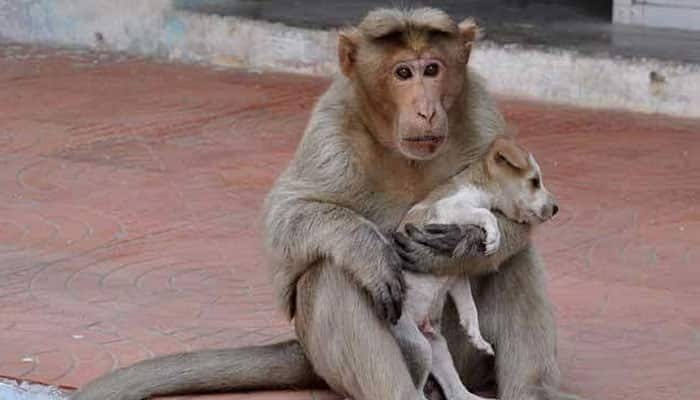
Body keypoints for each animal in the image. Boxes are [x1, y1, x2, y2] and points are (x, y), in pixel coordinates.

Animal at [394, 135, 556, 400]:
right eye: (534, 181)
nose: (556, 208)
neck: (479, 186)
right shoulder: (448, 208)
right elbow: (484, 214)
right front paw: (493, 238)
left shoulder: (455, 275)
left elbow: (469, 306)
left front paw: (475, 335)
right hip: (418, 346)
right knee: (415, 390)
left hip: (438, 348)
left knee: (456, 391)